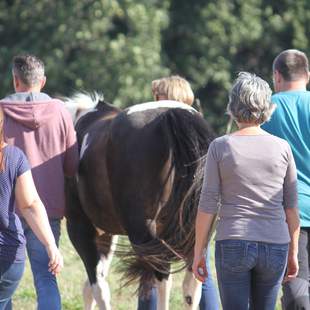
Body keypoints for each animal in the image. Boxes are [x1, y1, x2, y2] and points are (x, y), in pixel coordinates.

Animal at [65, 93, 216, 308]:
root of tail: (170, 114)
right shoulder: (106, 234)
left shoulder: (80, 228)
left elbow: (98, 288)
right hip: (194, 234)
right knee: (191, 284)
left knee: (163, 278)